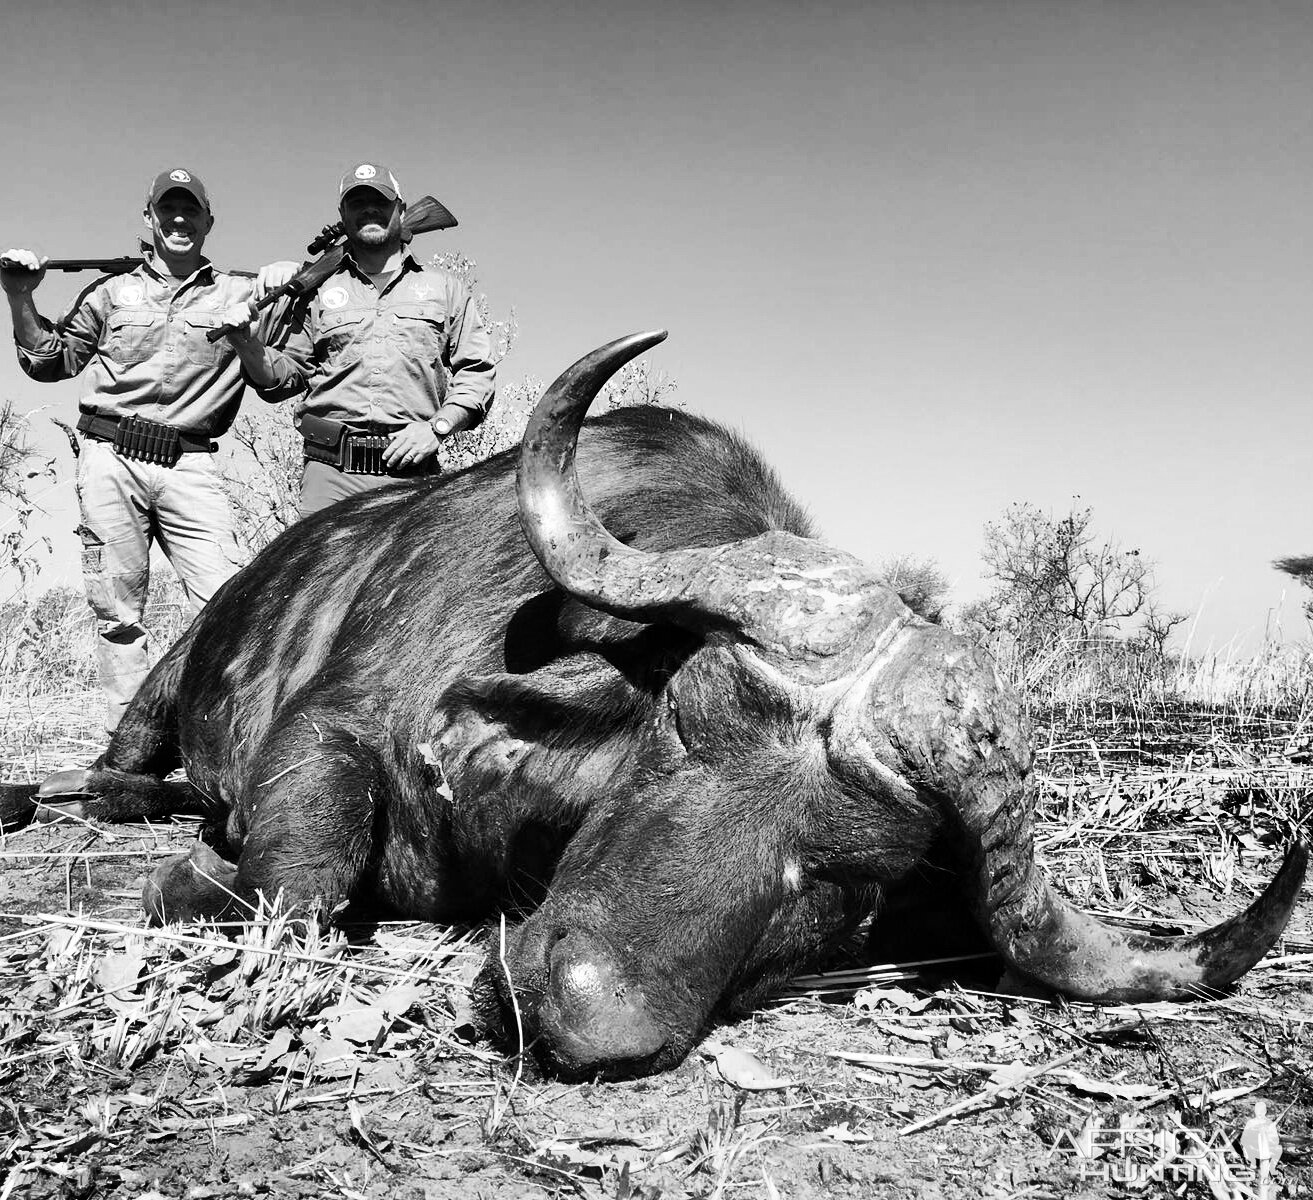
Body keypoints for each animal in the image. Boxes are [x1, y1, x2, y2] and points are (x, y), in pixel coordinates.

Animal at [0, 332, 1307, 1081]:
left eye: (847, 882)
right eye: (685, 723)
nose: (576, 1008)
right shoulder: (331, 728)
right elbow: (302, 880)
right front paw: (188, 881)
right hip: (163, 678)